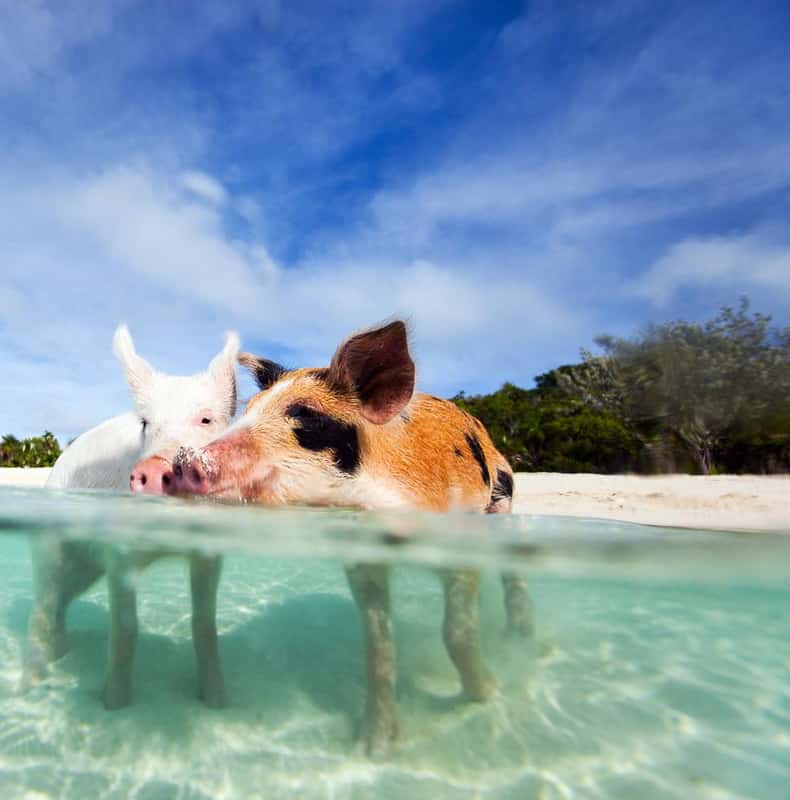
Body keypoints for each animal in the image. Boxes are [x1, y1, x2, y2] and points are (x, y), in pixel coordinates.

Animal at [25, 324, 239, 710]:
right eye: (145, 423)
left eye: (206, 419)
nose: (153, 468)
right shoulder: (119, 553)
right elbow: (126, 627)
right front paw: (114, 704)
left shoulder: (208, 553)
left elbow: (204, 624)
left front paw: (217, 702)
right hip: (50, 544)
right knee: (43, 606)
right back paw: (31, 685)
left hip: (86, 569)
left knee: (61, 601)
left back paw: (61, 654)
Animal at [168, 321, 532, 755]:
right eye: (249, 409)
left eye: (306, 416)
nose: (183, 461)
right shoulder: (363, 561)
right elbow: (378, 646)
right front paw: (372, 748)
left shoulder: (459, 541)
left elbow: (456, 632)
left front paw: (486, 694)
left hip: (503, 499)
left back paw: (520, 637)